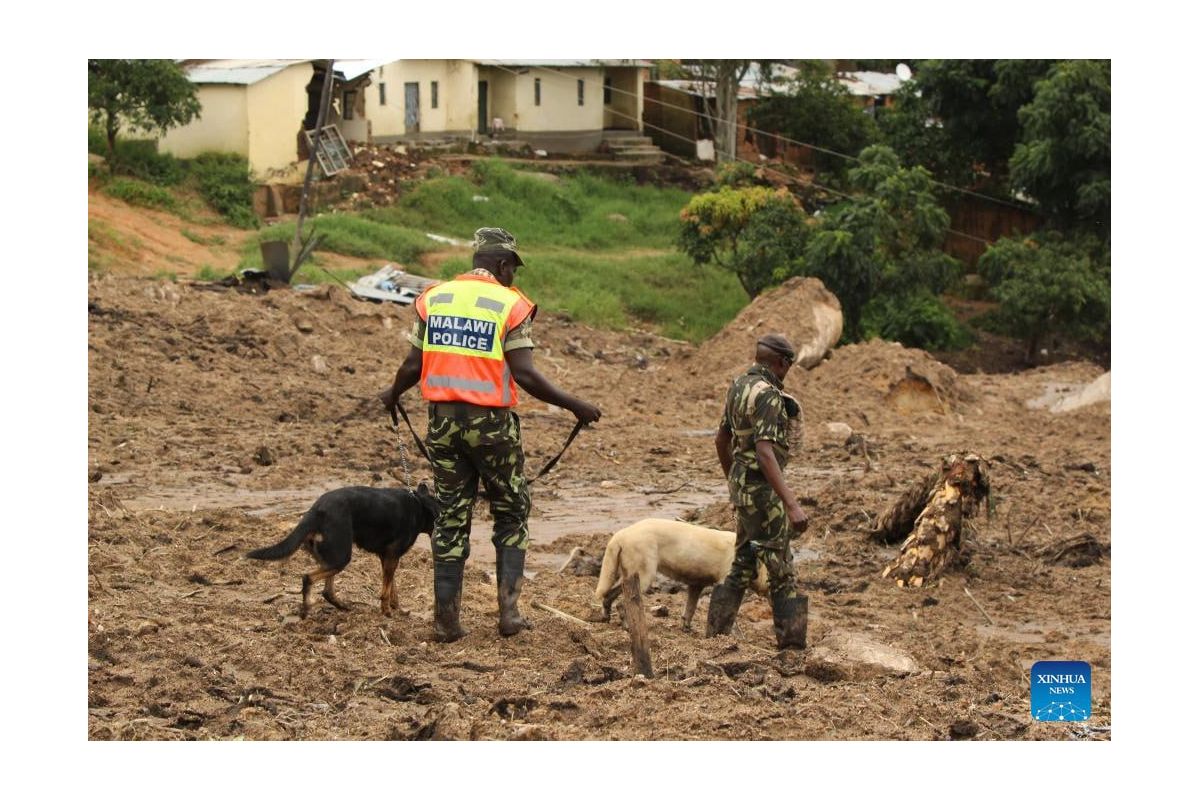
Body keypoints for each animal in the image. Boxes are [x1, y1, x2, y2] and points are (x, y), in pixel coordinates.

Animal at [246, 482, 439, 618]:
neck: (419, 504)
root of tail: (316, 510)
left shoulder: (387, 557)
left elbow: (393, 587)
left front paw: (398, 609)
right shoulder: (392, 556)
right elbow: (386, 590)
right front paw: (387, 612)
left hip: (331, 558)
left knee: (327, 591)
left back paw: (342, 606)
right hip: (341, 556)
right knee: (308, 578)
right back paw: (307, 609)